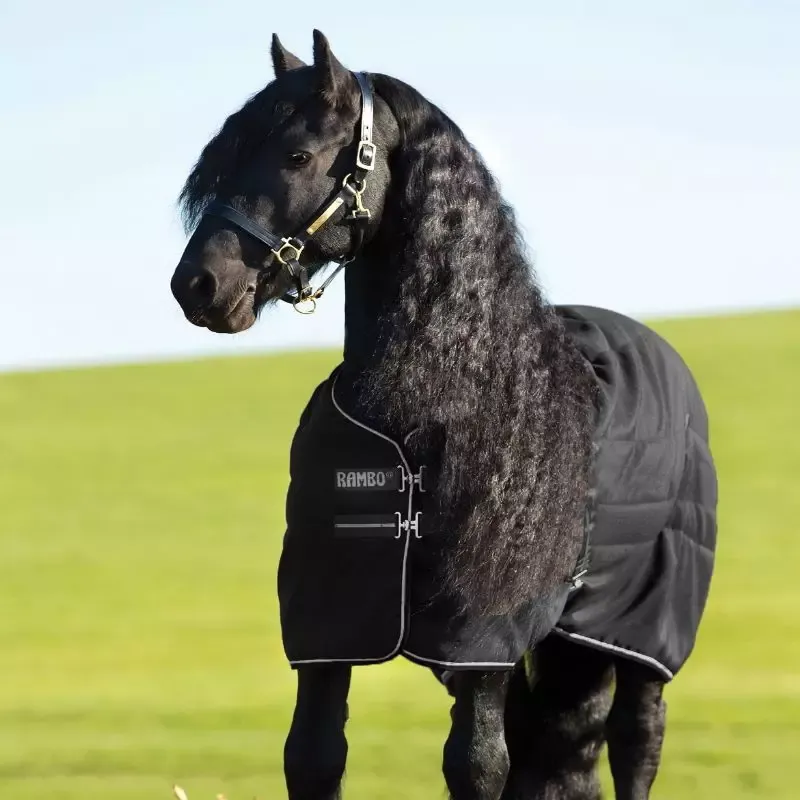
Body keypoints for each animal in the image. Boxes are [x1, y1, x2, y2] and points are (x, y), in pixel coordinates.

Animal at [170, 30, 717, 800]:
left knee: (636, 744)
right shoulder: (327, 632)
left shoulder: (482, 645)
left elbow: (477, 766)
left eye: (298, 155)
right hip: (568, 643)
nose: (198, 285)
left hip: (643, 639)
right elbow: (313, 756)